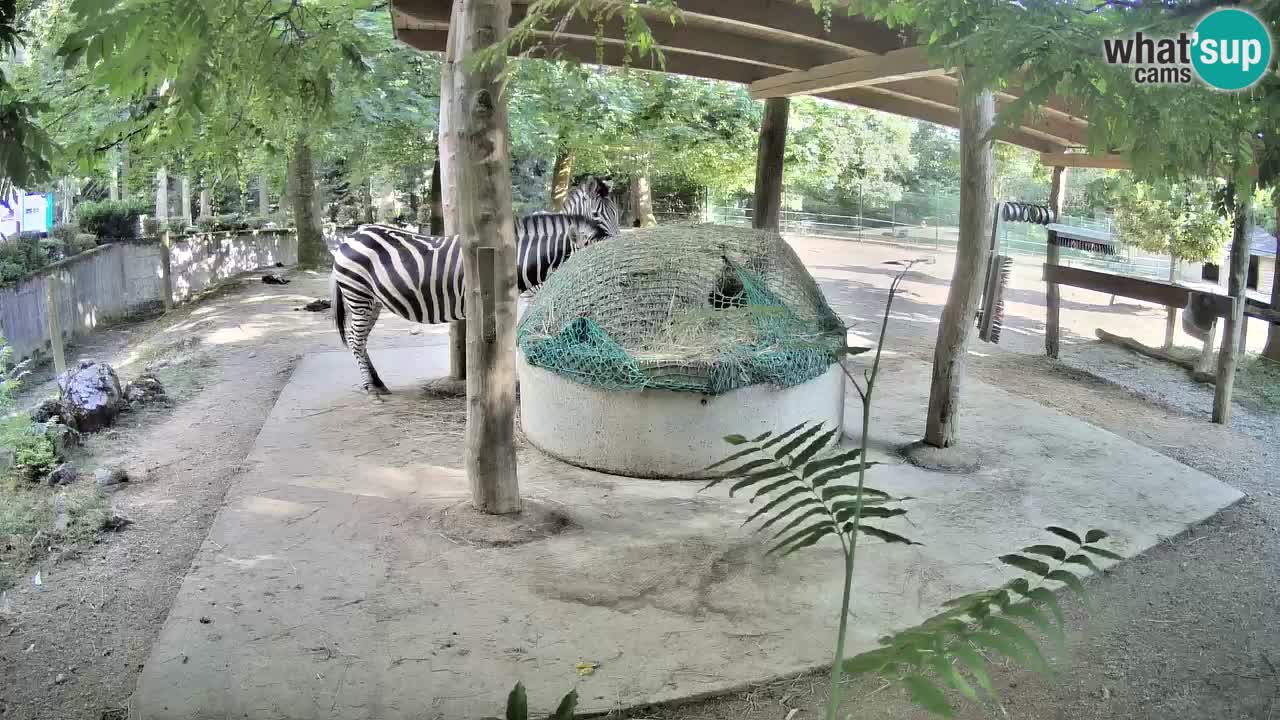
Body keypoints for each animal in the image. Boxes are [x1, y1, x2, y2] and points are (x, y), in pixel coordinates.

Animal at [331, 212, 612, 395]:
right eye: (588, 265)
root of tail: (351, 235)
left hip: (374, 301)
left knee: (360, 340)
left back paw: (377, 382)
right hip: (358, 295)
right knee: (356, 340)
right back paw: (371, 387)